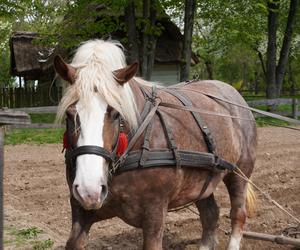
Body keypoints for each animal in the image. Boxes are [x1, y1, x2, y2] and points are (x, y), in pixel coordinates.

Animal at [54, 40, 255, 249]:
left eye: (116, 114)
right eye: (69, 114)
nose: (89, 190)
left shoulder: (155, 211)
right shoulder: (80, 209)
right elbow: (74, 241)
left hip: (240, 172)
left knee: (238, 214)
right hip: (201, 183)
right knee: (210, 215)